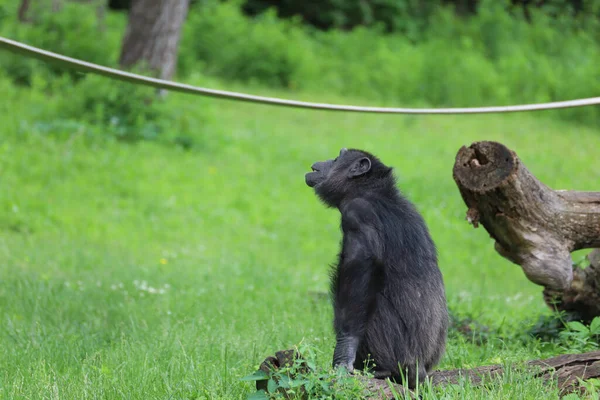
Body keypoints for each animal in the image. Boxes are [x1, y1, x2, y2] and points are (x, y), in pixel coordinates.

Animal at [304, 148, 450, 388]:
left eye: (337, 158)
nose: (323, 162)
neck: (369, 191)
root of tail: (422, 371)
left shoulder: (358, 215)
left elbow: (361, 269)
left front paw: (344, 349)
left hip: (401, 355)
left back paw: (382, 370)